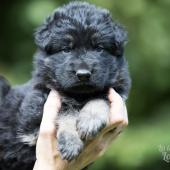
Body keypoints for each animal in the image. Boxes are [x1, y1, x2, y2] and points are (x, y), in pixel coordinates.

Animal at [0, 1, 131, 170]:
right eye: (66, 49)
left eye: (99, 48)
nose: (83, 74)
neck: (79, 95)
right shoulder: (36, 112)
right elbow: (66, 112)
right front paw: (71, 142)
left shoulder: (116, 90)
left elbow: (100, 98)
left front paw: (90, 120)